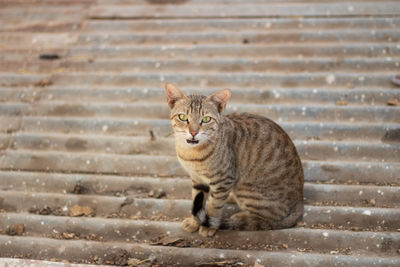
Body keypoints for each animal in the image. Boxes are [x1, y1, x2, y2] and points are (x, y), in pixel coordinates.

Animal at [165, 83, 304, 237]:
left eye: (206, 119)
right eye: (183, 117)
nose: (193, 132)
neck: (191, 154)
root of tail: (300, 202)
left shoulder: (224, 179)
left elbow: (214, 205)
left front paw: (208, 226)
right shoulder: (198, 179)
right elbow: (197, 200)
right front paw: (194, 222)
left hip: (247, 189)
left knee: (269, 217)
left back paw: (241, 217)